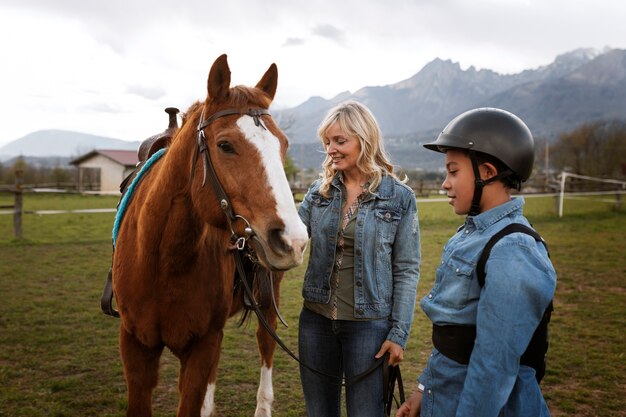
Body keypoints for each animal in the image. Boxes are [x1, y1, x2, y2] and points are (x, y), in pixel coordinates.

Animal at [113, 55, 308, 416]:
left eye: (284, 145)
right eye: (225, 145)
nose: (293, 239)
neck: (163, 258)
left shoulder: (201, 346)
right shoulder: (135, 345)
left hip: (267, 301)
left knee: (266, 344)